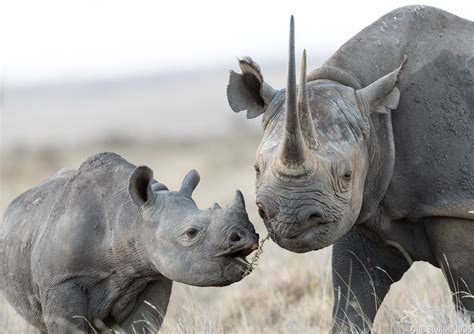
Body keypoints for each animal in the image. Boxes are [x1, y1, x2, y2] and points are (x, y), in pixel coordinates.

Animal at [0, 153, 260, 332]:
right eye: (191, 232)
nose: (248, 236)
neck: (129, 216)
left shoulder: (153, 274)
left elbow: (142, 324)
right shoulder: (61, 281)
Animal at [228, 5, 472, 332]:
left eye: (346, 174)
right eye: (256, 168)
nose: (290, 219)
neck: (377, 118)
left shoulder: (453, 205)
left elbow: (467, 298)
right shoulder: (362, 207)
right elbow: (352, 300)